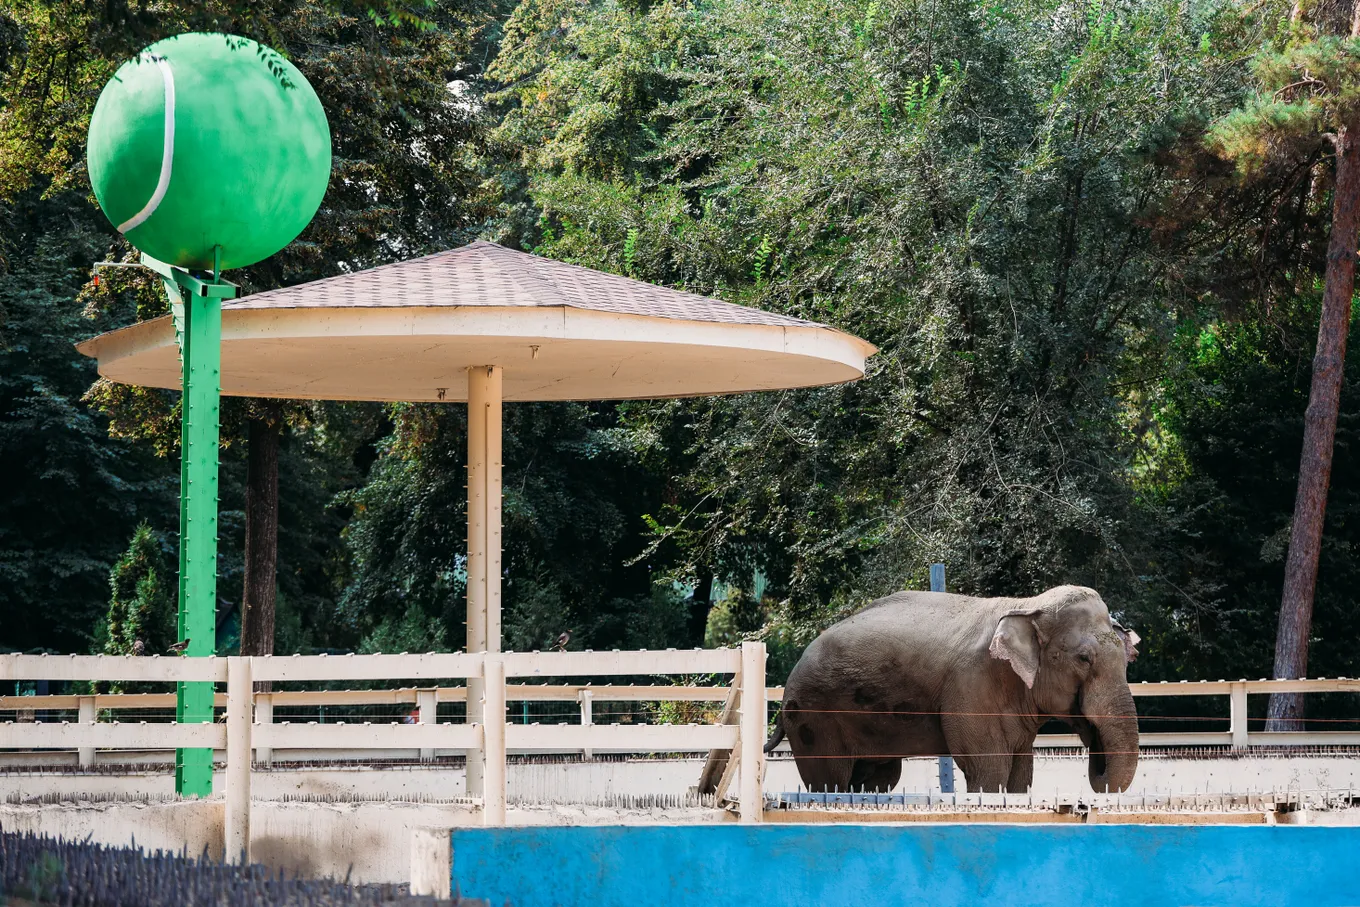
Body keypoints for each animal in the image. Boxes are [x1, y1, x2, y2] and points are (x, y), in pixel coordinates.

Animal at [764, 585, 1140, 793]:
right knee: (829, 781)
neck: (1027, 604)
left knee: (877, 779)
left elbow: (1020, 775)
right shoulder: (972, 686)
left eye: (1128, 659)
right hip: (814, 716)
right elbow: (988, 771)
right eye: (1083, 659)